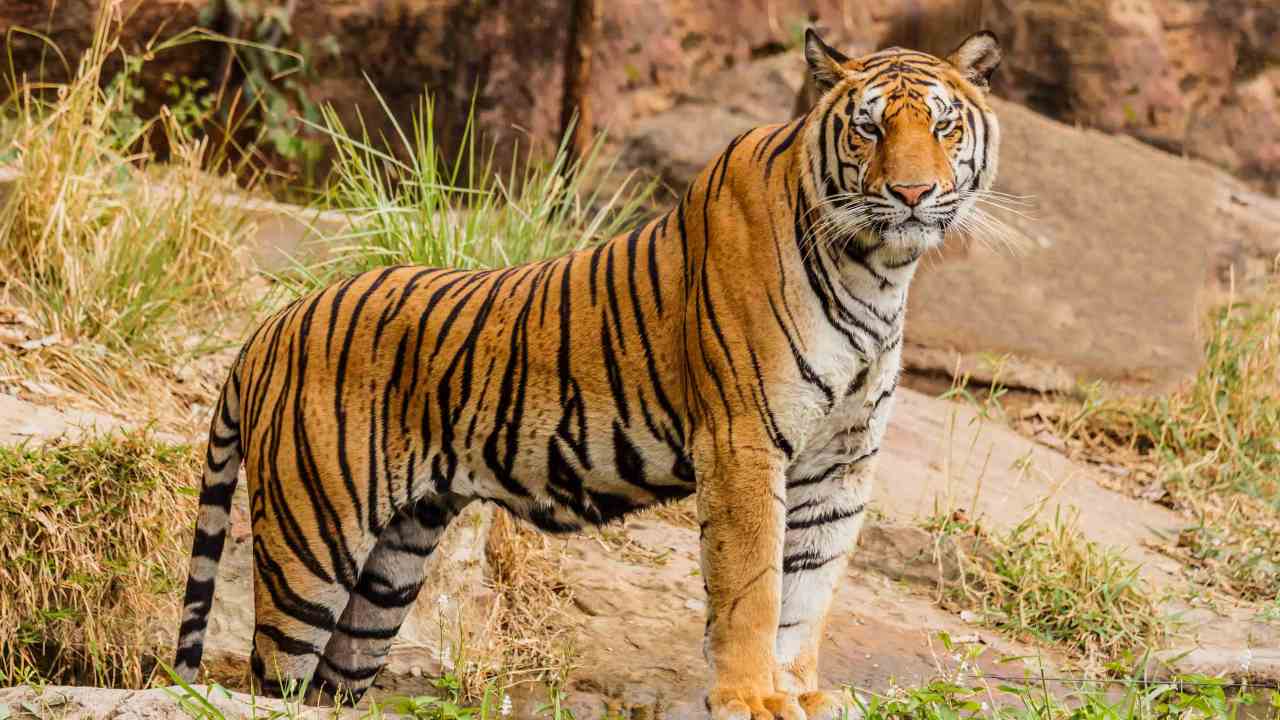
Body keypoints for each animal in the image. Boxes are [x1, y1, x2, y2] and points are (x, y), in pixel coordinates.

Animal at [173, 29, 1001, 720]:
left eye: (943, 127)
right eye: (870, 128)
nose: (913, 194)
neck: (879, 268)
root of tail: (271, 325)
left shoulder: (841, 462)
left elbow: (809, 591)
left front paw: (797, 694)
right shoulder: (743, 441)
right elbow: (754, 587)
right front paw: (749, 697)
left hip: (390, 569)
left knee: (329, 685)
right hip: (312, 544)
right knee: (268, 676)